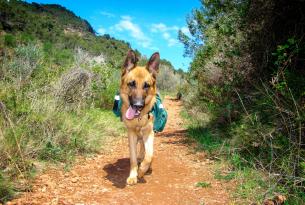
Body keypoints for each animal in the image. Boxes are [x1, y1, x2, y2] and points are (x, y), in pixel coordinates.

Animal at [120, 50, 160, 186]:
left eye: (146, 85)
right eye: (131, 84)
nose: (138, 105)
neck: (138, 120)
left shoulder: (149, 133)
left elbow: (150, 155)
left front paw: (142, 170)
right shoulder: (131, 135)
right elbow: (132, 158)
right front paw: (133, 175)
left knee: (145, 150)